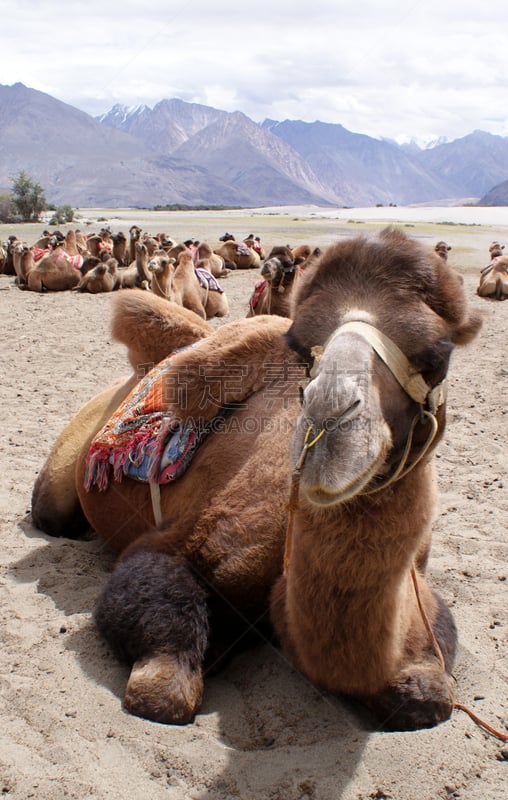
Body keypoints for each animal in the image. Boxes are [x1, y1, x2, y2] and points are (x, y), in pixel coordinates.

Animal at [29, 225, 482, 732]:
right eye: (302, 345)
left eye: (438, 354)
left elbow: (427, 693)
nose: (328, 424)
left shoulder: (416, 587)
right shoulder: (179, 542)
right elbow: (163, 688)